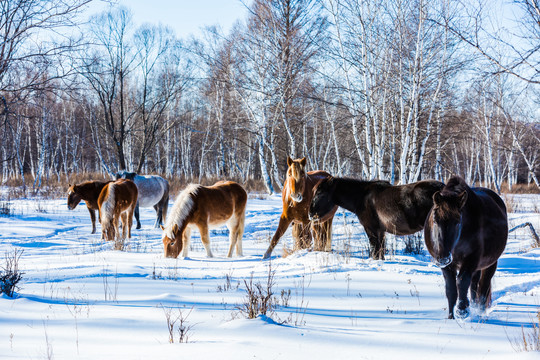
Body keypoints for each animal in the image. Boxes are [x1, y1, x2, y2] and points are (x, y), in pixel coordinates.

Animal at [308, 176, 442, 258]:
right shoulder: (381, 230)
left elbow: (375, 250)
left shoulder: (371, 229)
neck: (361, 197)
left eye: (320, 192)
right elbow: (380, 252)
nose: (310, 213)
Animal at [424, 176, 508, 320]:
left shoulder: (470, 260)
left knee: (483, 288)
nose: (443, 258)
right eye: (435, 220)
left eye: (458, 222)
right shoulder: (448, 266)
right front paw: (451, 317)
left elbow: (462, 282)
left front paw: (462, 311)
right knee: (474, 285)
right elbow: (451, 289)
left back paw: (480, 313)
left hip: (490, 264)